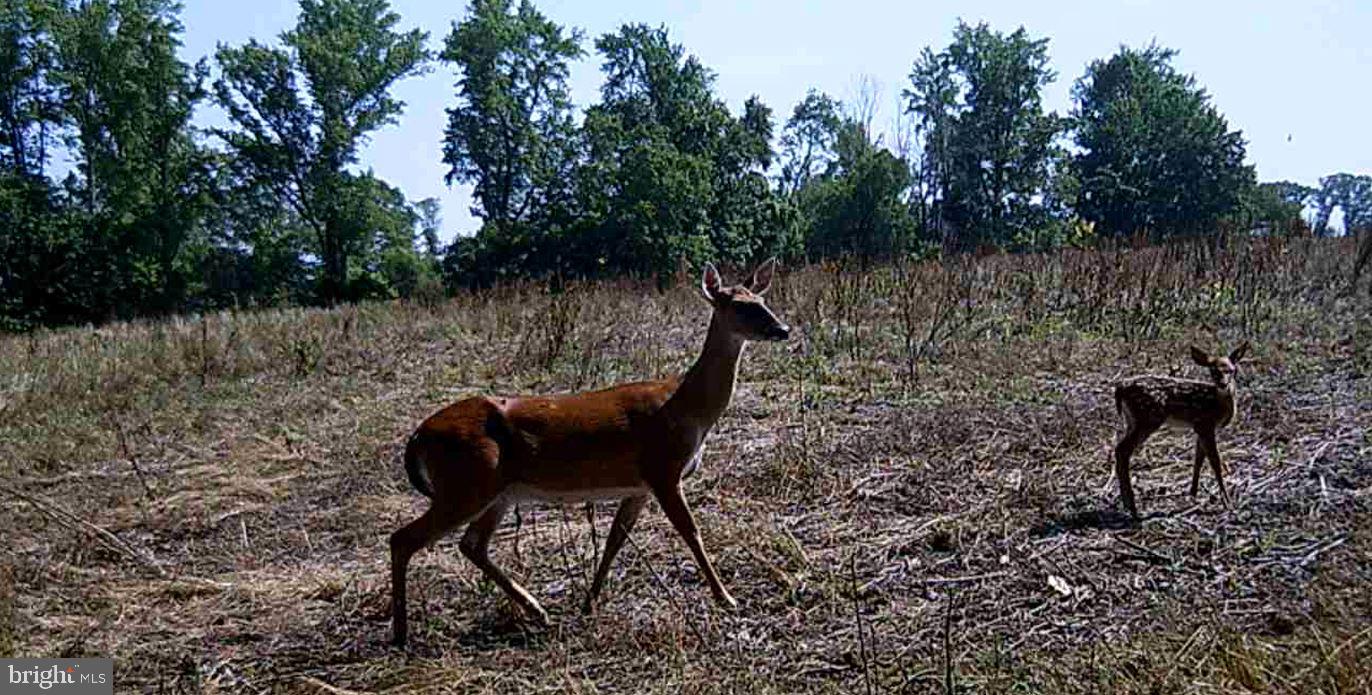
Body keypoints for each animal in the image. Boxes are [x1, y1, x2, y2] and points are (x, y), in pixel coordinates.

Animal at [389, 259, 795, 649]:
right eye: (740, 305)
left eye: (762, 300)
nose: (783, 329)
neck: (686, 408)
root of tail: (418, 435)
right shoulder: (663, 469)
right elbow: (690, 531)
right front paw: (726, 598)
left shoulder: (639, 485)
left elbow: (616, 538)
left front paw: (589, 601)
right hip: (467, 484)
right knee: (404, 538)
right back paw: (401, 633)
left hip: (498, 491)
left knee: (472, 544)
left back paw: (538, 611)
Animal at [1114, 342, 1256, 518]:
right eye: (1213, 370)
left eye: (1231, 370)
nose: (1223, 384)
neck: (1218, 405)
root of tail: (1120, 388)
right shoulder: (1206, 424)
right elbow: (1215, 462)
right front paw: (1227, 502)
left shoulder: (1199, 427)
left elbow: (1198, 460)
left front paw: (1193, 493)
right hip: (1147, 418)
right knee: (1122, 450)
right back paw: (1132, 508)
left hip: (1133, 421)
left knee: (1120, 449)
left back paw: (1127, 505)